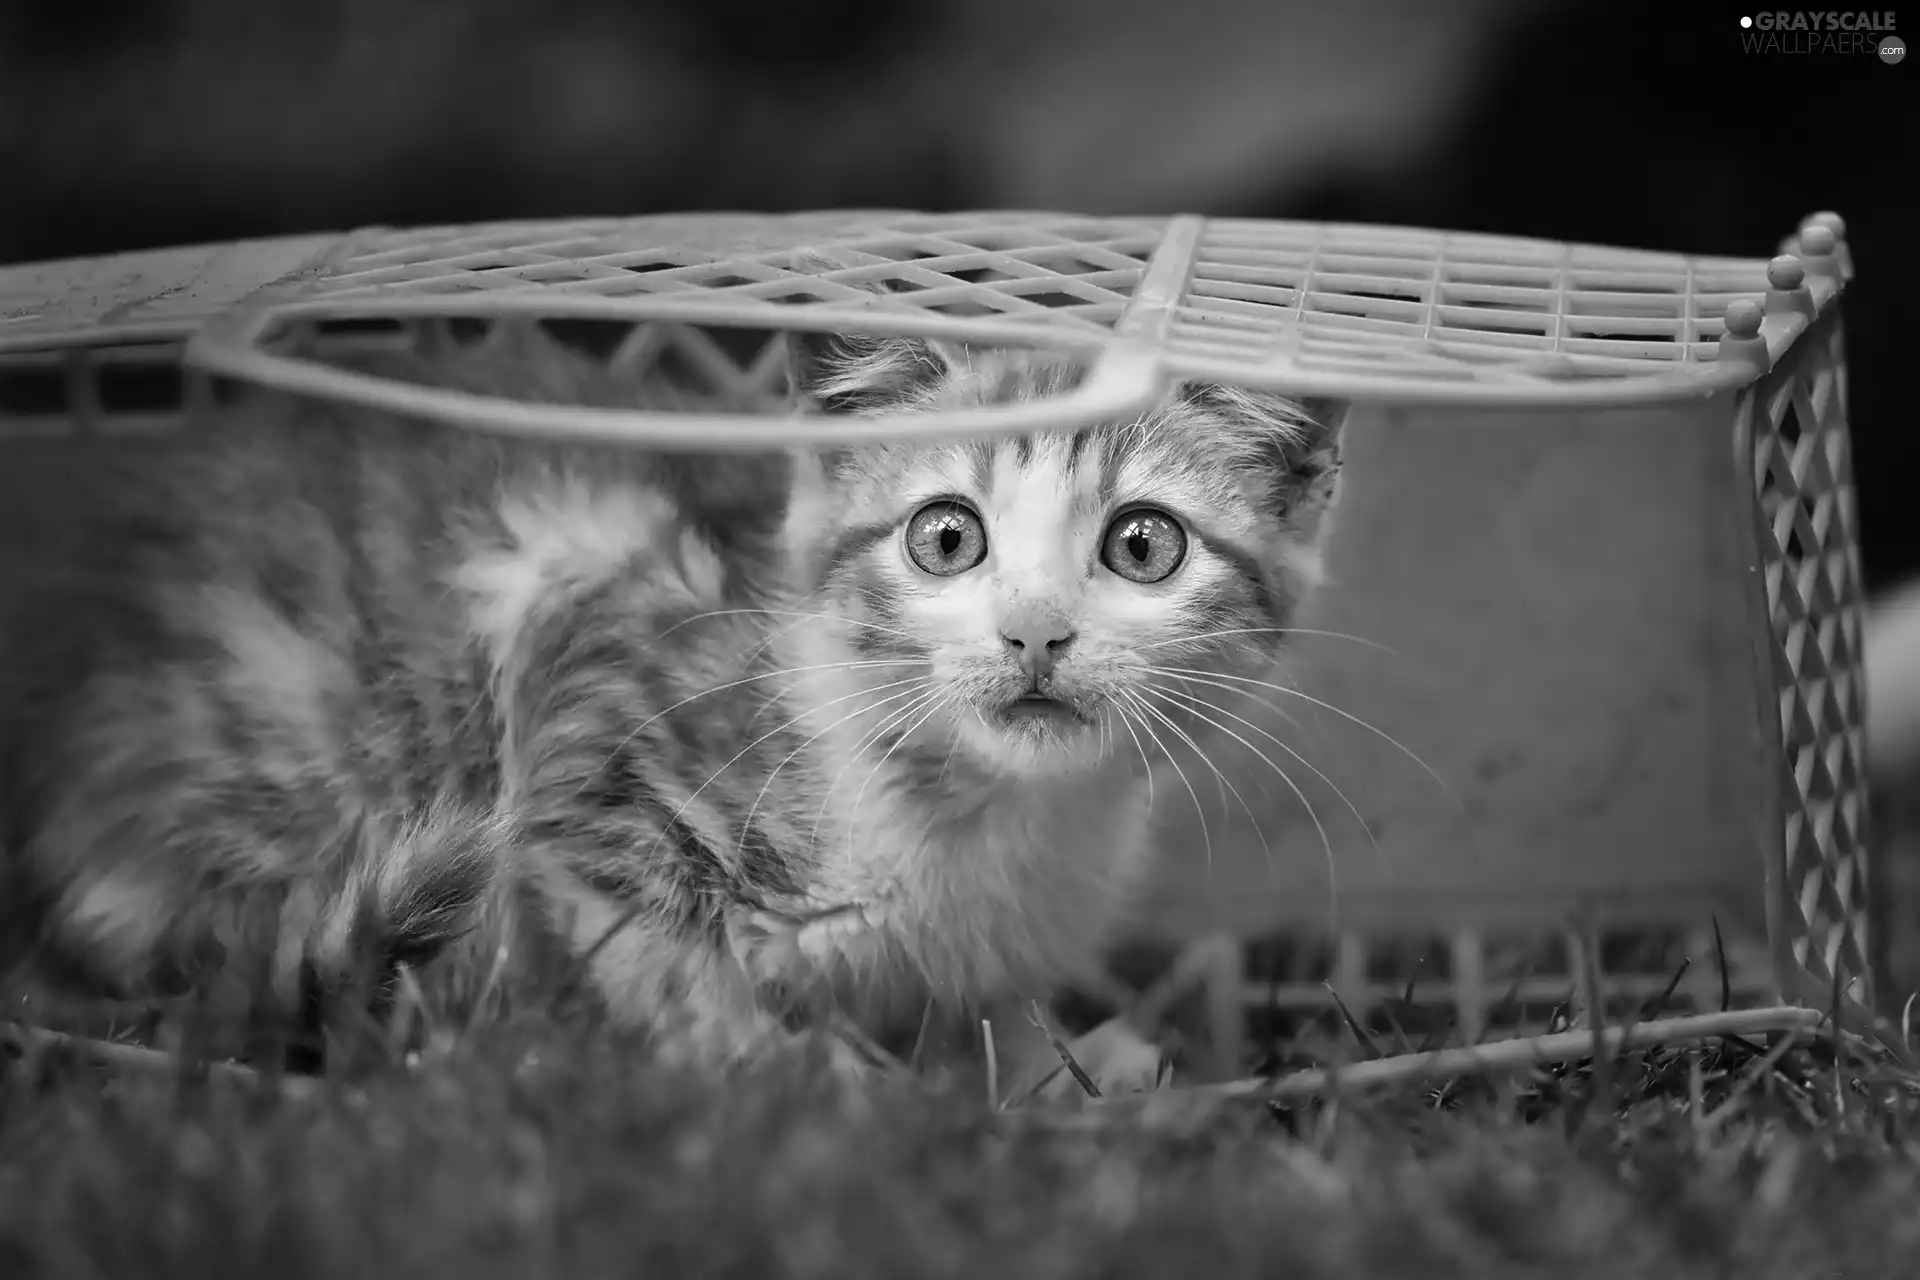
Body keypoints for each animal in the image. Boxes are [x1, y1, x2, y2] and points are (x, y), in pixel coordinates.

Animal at [0, 310, 1344, 1090]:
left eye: (1141, 546)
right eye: (947, 535)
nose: (1034, 630)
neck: (969, 819)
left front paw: (1075, 1083)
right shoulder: (595, 662)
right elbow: (669, 973)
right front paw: (832, 1098)